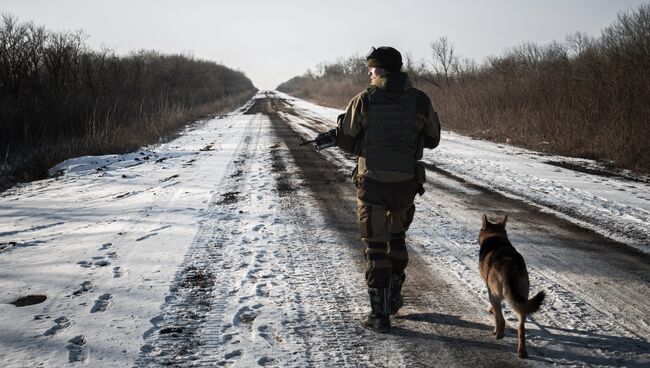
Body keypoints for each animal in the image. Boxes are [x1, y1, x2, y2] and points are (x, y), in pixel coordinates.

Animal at [476, 214, 540, 358]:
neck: (495, 237)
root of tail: (509, 267)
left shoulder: (491, 290)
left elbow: (495, 314)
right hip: (522, 296)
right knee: (521, 326)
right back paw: (522, 351)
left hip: (495, 295)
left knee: (501, 319)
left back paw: (498, 334)